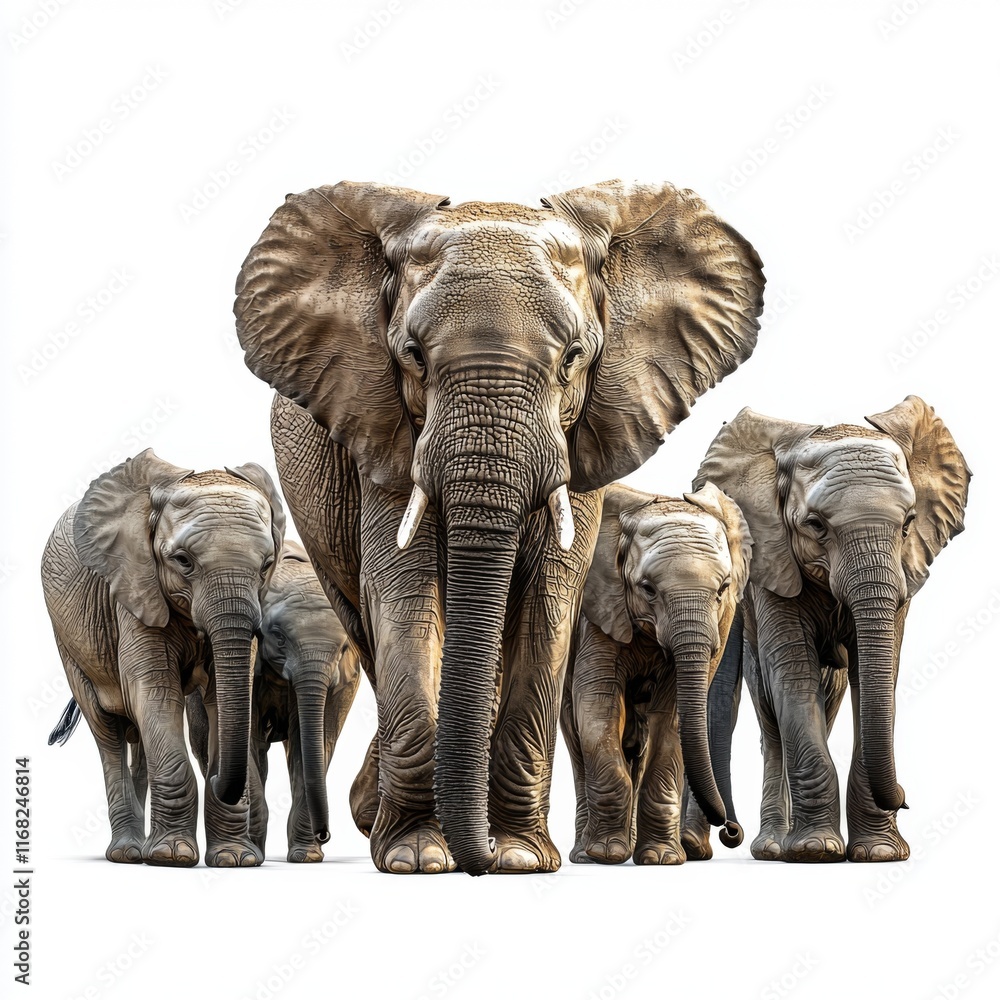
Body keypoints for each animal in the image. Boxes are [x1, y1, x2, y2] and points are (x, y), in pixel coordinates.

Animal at [41, 449, 285, 867]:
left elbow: (218, 698)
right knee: (107, 732)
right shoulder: (133, 588)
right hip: (68, 642)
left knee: (138, 738)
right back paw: (127, 853)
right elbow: (156, 692)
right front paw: (172, 856)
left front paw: (235, 858)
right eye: (183, 561)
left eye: (267, 565)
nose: (216, 778)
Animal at [187, 541, 362, 862]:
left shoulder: (344, 682)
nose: (325, 834)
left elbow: (314, 742)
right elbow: (249, 740)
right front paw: (253, 852)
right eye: (278, 637)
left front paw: (306, 857)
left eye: (344, 647)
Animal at [560, 482, 750, 865]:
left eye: (723, 589)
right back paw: (585, 854)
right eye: (647, 588)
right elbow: (598, 705)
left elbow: (672, 718)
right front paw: (606, 854)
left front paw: (661, 858)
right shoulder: (598, 612)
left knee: (638, 740)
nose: (730, 831)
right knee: (578, 735)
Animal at [696, 395, 970, 862]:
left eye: (908, 523)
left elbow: (878, 674)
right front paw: (814, 850)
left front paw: (880, 853)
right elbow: (793, 676)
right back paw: (774, 848)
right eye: (816, 525)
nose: (905, 796)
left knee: (828, 695)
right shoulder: (774, 563)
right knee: (771, 713)